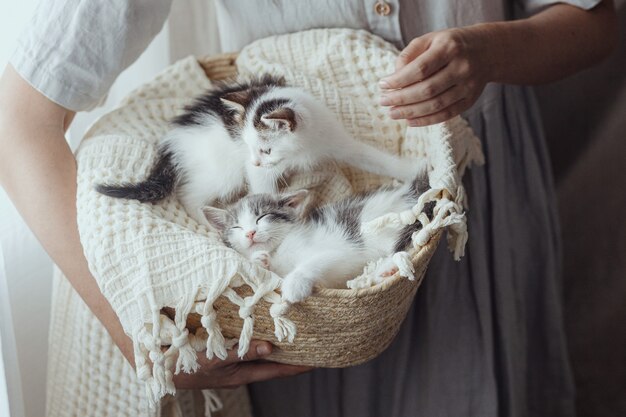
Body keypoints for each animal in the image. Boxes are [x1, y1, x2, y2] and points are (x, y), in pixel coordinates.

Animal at [97, 75, 426, 224]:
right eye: (247, 147)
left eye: (265, 150)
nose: (255, 162)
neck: (303, 149)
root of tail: (174, 136)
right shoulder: (256, 172)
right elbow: (264, 189)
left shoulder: (335, 139)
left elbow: (369, 155)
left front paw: (413, 168)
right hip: (222, 170)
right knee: (190, 195)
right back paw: (205, 221)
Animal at [205, 176, 428, 302]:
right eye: (236, 227)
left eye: (262, 217)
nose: (250, 233)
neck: (278, 250)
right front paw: (259, 260)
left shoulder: (338, 253)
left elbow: (313, 262)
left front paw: (294, 286)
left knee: (406, 244)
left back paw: (388, 267)